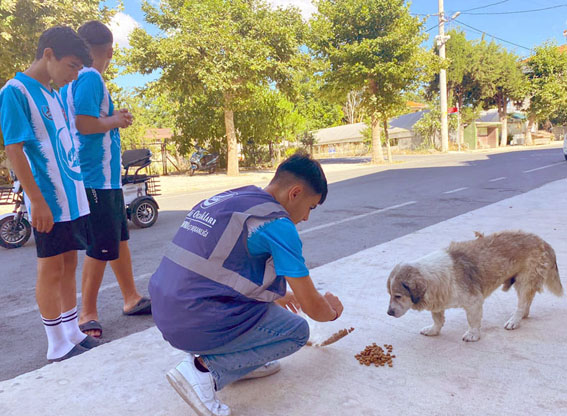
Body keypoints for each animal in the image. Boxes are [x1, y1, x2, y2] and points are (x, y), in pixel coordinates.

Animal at [386, 231, 564, 342]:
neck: (433, 276)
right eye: (390, 294)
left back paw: (515, 319)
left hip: (524, 281)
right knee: (527, 301)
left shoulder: (473, 301)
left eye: (398, 296)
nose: (388, 313)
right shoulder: (438, 301)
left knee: (522, 302)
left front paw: (473, 334)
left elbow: (472, 320)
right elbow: (437, 318)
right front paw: (434, 330)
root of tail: (542, 241)